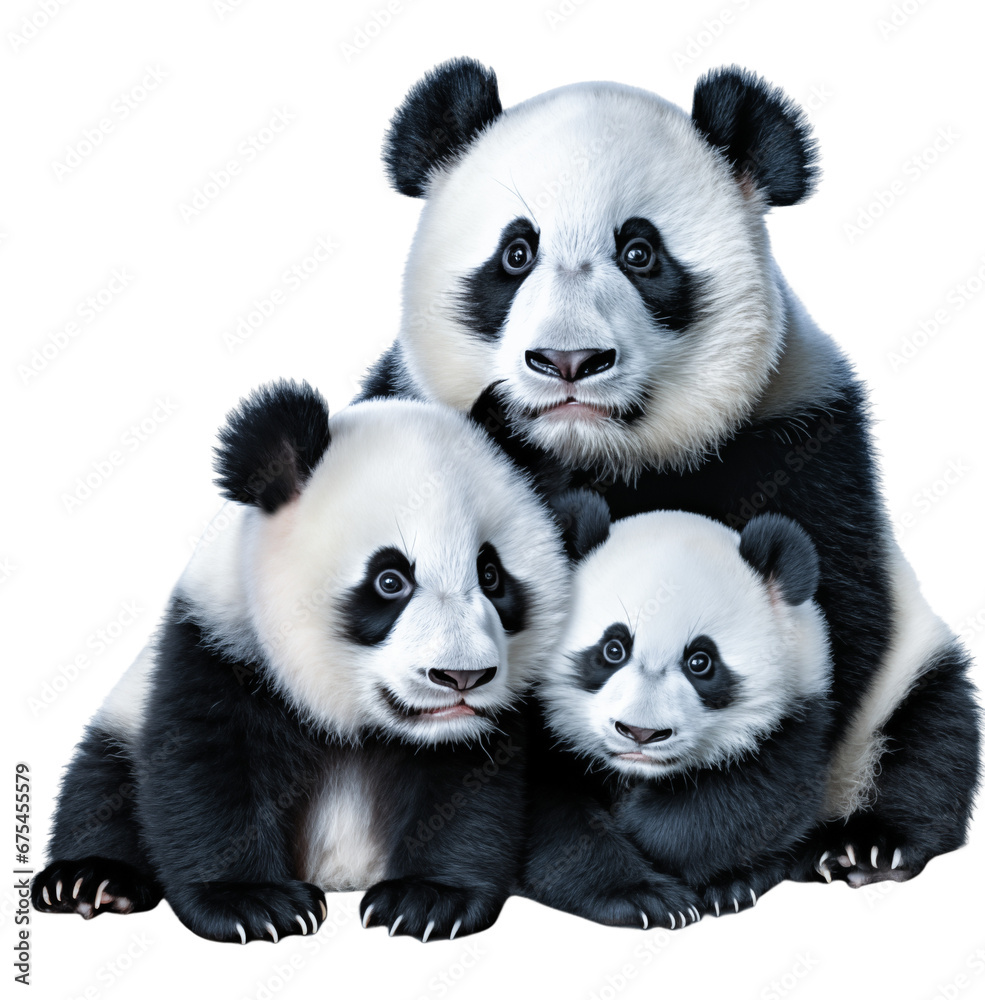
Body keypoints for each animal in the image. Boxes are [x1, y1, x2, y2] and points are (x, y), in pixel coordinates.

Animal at [32, 381, 571, 943]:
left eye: (490, 574)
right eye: (390, 581)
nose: (462, 676)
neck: (352, 716)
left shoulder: (481, 729)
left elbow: (466, 794)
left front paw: (427, 899)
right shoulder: (219, 646)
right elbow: (206, 770)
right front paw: (253, 904)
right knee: (103, 779)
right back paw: (89, 882)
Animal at [522, 497, 833, 927]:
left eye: (700, 662)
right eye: (613, 649)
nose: (640, 733)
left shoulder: (797, 716)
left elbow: (751, 800)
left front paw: (642, 826)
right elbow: (553, 823)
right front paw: (646, 898)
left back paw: (735, 887)